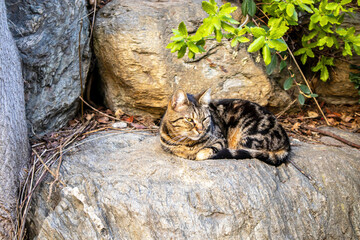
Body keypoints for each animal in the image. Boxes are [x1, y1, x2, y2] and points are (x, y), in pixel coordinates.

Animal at [159, 89, 292, 166]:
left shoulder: (221, 139)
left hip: (247, 137)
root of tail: (287, 143)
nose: (201, 130)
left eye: (205, 119)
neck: (187, 142)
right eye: (190, 120)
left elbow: (205, 151)